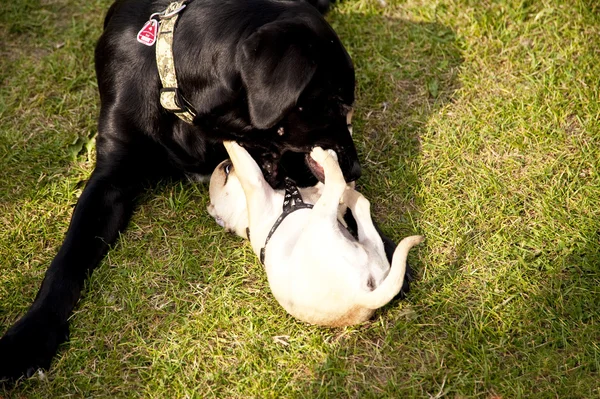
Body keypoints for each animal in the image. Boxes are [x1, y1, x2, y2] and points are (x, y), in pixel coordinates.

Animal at [209, 142, 424, 326]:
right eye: (225, 170)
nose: (266, 160)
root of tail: (360, 297)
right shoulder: (255, 182)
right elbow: (240, 157)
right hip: (321, 220)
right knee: (342, 189)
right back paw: (326, 160)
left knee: (356, 200)